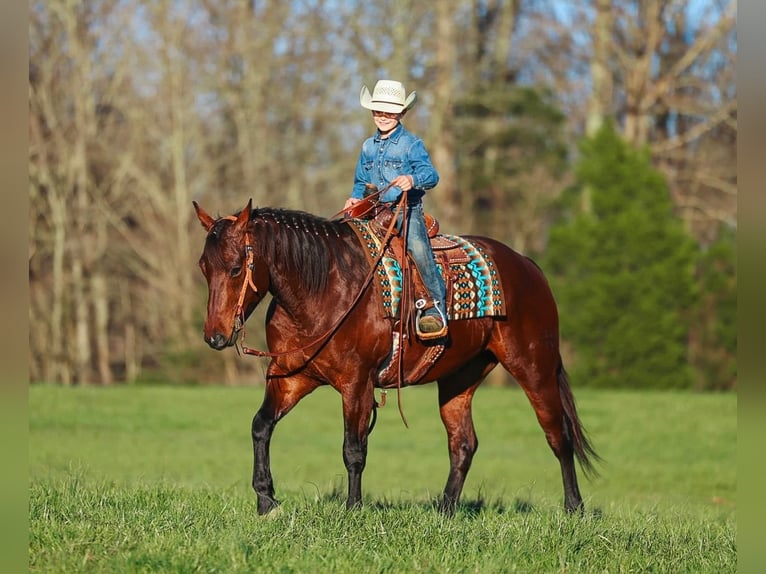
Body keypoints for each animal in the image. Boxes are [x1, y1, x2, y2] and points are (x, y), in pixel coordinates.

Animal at [193, 198, 598, 515]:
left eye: (235, 268)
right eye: (204, 267)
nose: (215, 336)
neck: (324, 288)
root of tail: (527, 265)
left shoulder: (356, 383)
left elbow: (353, 448)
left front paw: (352, 509)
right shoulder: (291, 377)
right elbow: (261, 426)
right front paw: (266, 501)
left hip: (534, 367)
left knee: (558, 434)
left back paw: (574, 508)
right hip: (460, 378)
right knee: (463, 444)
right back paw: (444, 511)